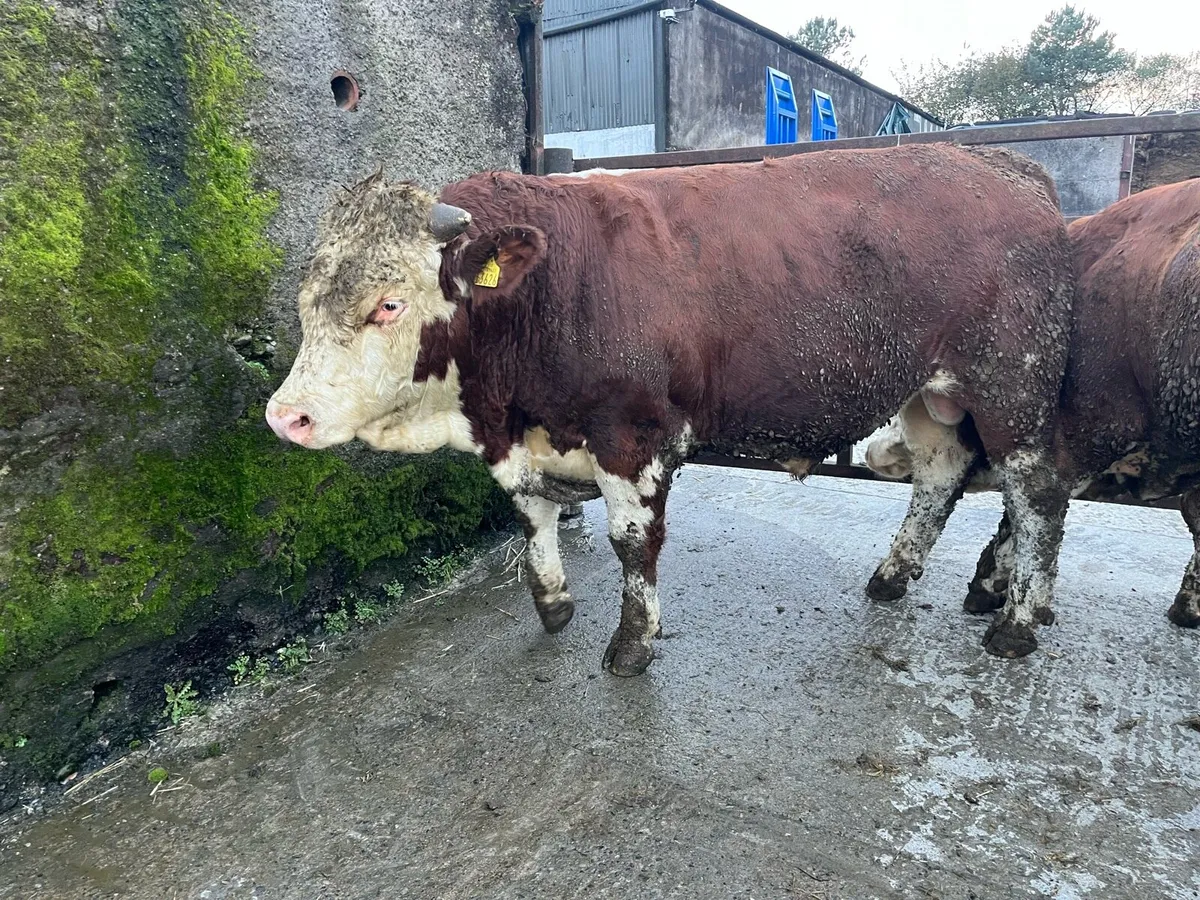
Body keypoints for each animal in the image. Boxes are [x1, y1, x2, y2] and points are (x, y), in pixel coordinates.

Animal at [266, 144, 1076, 676]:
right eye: (308, 297)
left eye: (388, 303)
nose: (285, 417)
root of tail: (1009, 166)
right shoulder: (525, 440)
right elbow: (532, 517)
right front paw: (553, 604)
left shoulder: (632, 433)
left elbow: (632, 541)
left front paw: (631, 644)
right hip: (926, 395)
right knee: (940, 474)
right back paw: (894, 575)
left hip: (1011, 387)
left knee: (1037, 492)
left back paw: (1016, 620)